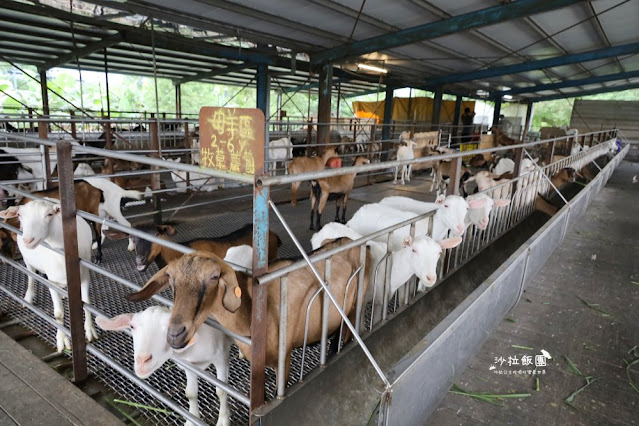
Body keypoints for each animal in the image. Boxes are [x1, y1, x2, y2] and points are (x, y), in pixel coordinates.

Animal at [0, 201, 97, 352]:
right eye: (19, 215)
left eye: (49, 214)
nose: (28, 240)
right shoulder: (51, 282)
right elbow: (59, 314)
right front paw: (62, 340)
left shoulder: (85, 275)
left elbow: (86, 302)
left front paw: (90, 330)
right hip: (28, 261)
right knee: (31, 277)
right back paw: (28, 297)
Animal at [97, 306, 232, 426]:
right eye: (131, 326)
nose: (142, 360)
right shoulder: (189, 365)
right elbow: (191, 393)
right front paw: (192, 420)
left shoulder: (222, 356)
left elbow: (221, 391)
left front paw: (223, 421)